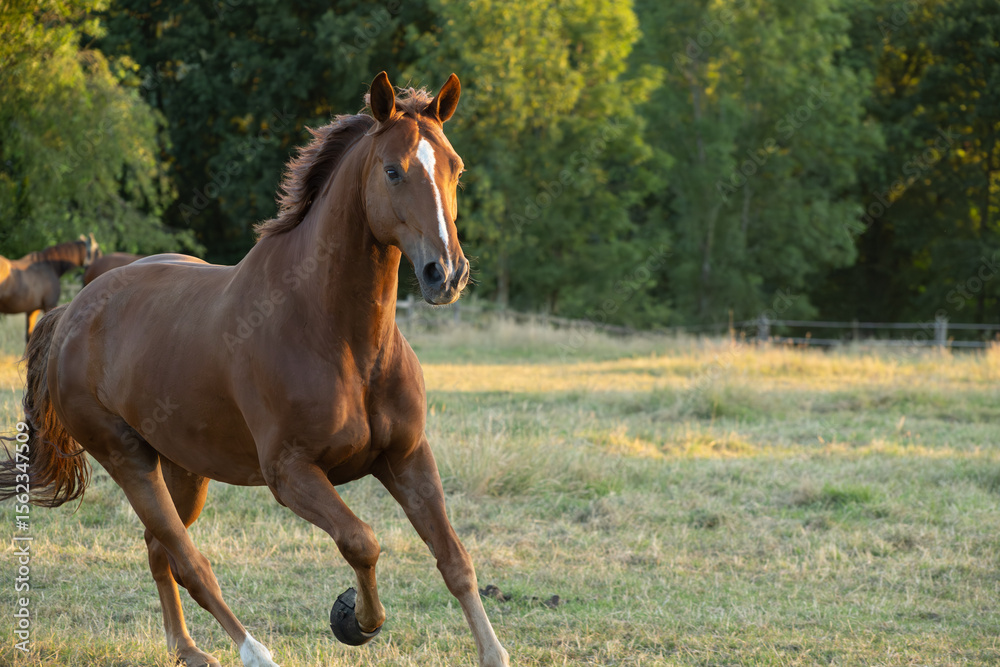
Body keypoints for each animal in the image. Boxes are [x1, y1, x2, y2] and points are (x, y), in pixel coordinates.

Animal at [0, 72, 509, 667]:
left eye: (455, 167)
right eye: (392, 170)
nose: (445, 274)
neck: (339, 336)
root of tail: (72, 313)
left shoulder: (406, 457)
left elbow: (454, 560)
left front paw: (492, 652)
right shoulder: (291, 474)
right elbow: (362, 541)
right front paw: (353, 620)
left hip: (184, 468)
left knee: (158, 549)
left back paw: (188, 649)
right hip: (128, 460)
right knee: (188, 560)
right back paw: (253, 651)